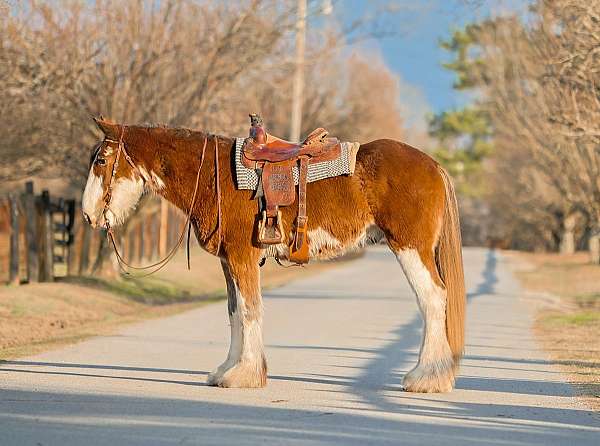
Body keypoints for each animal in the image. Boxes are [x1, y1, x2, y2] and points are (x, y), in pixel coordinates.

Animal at [82, 118, 466, 394]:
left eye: (101, 159)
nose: (87, 215)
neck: (214, 175)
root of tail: (433, 165)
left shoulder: (243, 256)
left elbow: (250, 309)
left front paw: (246, 375)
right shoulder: (229, 261)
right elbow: (235, 312)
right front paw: (228, 369)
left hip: (410, 248)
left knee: (433, 299)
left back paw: (426, 377)